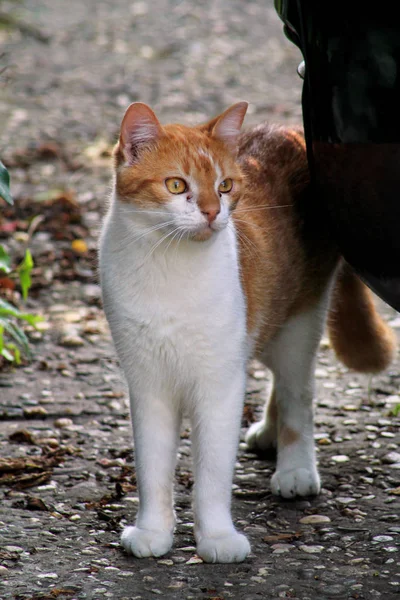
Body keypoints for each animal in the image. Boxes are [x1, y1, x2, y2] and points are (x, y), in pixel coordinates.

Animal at [98, 102, 396, 564]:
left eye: (224, 186)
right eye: (176, 185)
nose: (211, 212)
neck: (168, 267)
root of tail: (289, 130)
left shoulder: (219, 383)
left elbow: (213, 470)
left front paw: (217, 537)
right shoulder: (149, 384)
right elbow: (152, 466)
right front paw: (153, 531)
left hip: (299, 322)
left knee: (297, 395)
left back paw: (295, 466)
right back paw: (269, 432)